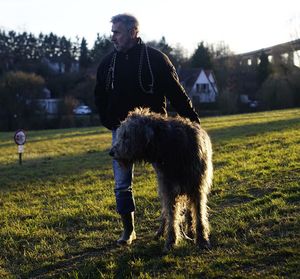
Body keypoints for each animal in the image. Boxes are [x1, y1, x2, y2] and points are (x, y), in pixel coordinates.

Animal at [110, 108, 213, 253]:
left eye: (126, 135)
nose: (111, 152)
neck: (171, 147)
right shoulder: (168, 188)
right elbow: (171, 216)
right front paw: (170, 241)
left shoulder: (197, 187)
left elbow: (198, 214)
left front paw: (202, 240)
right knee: (166, 213)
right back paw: (161, 232)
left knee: (189, 210)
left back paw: (190, 230)